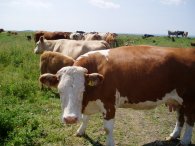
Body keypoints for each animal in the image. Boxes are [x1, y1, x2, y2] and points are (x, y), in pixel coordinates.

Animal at [38, 45, 195, 145]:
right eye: (60, 91)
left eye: (82, 90)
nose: (70, 119)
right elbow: (86, 118)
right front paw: (80, 131)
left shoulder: (109, 105)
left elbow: (107, 129)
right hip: (178, 100)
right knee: (180, 118)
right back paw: (174, 135)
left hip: (189, 100)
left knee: (189, 120)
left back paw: (185, 141)